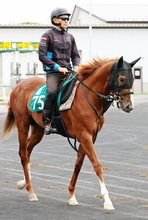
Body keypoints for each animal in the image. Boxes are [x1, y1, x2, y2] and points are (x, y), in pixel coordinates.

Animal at [0, 55, 140, 211]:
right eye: (121, 79)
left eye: (133, 78)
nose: (129, 106)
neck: (89, 97)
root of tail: (18, 86)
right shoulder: (84, 136)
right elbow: (97, 165)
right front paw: (107, 200)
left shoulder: (89, 137)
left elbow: (78, 165)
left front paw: (72, 196)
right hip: (22, 125)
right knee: (24, 155)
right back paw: (31, 191)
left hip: (38, 130)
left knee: (26, 151)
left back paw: (24, 182)